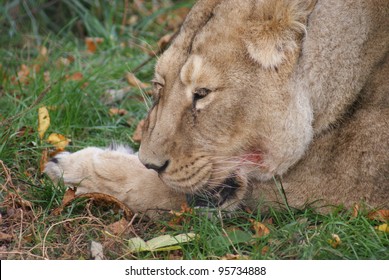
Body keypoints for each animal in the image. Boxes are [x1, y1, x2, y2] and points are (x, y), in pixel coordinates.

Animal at [44, 0, 388, 217]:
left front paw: (76, 168)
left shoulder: (324, 191)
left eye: (201, 94)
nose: (150, 162)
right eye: (159, 85)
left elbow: (158, 188)